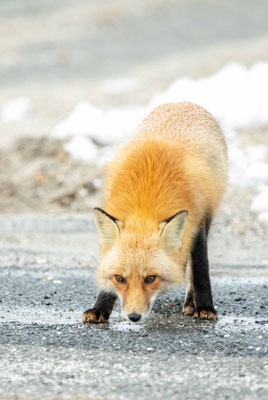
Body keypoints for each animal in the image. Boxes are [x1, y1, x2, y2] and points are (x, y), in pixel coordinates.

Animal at [82, 101, 227, 324]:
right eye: (120, 278)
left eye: (150, 278)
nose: (134, 317)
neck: (146, 203)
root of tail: (183, 102)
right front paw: (100, 309)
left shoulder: (197, 222)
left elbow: (201, 270)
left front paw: (205, 307)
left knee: (192, 270)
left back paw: (191, 303)